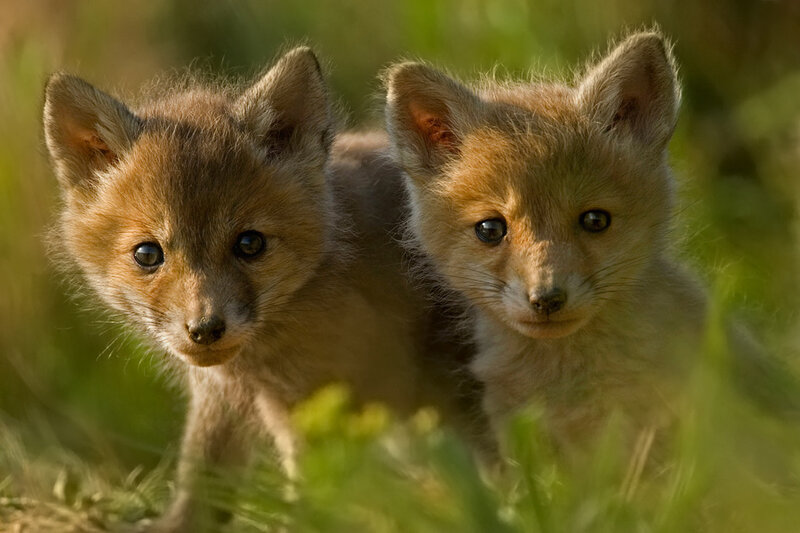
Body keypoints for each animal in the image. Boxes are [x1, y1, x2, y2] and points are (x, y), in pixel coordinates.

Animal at [43, 47, 486, 532]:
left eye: (249, 244)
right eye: (147, 254)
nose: (205, 329)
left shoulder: (313, 402)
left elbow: (318, 495)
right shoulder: (225, 399)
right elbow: (203, 485)